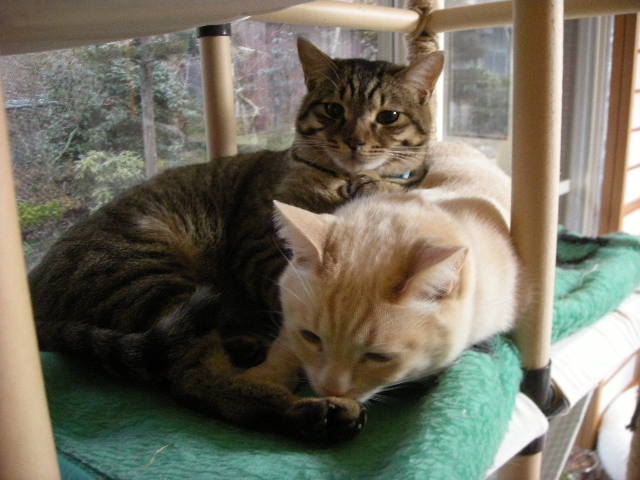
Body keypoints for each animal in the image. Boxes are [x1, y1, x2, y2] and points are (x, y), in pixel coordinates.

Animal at [30, 38, 444, 442]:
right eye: (333, 109)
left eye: (388, 116)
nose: (355, 141)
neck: (344, 180)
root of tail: (35, 293)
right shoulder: (260, 247)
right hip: (151, 275)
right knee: (192, 380)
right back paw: (314, 412)